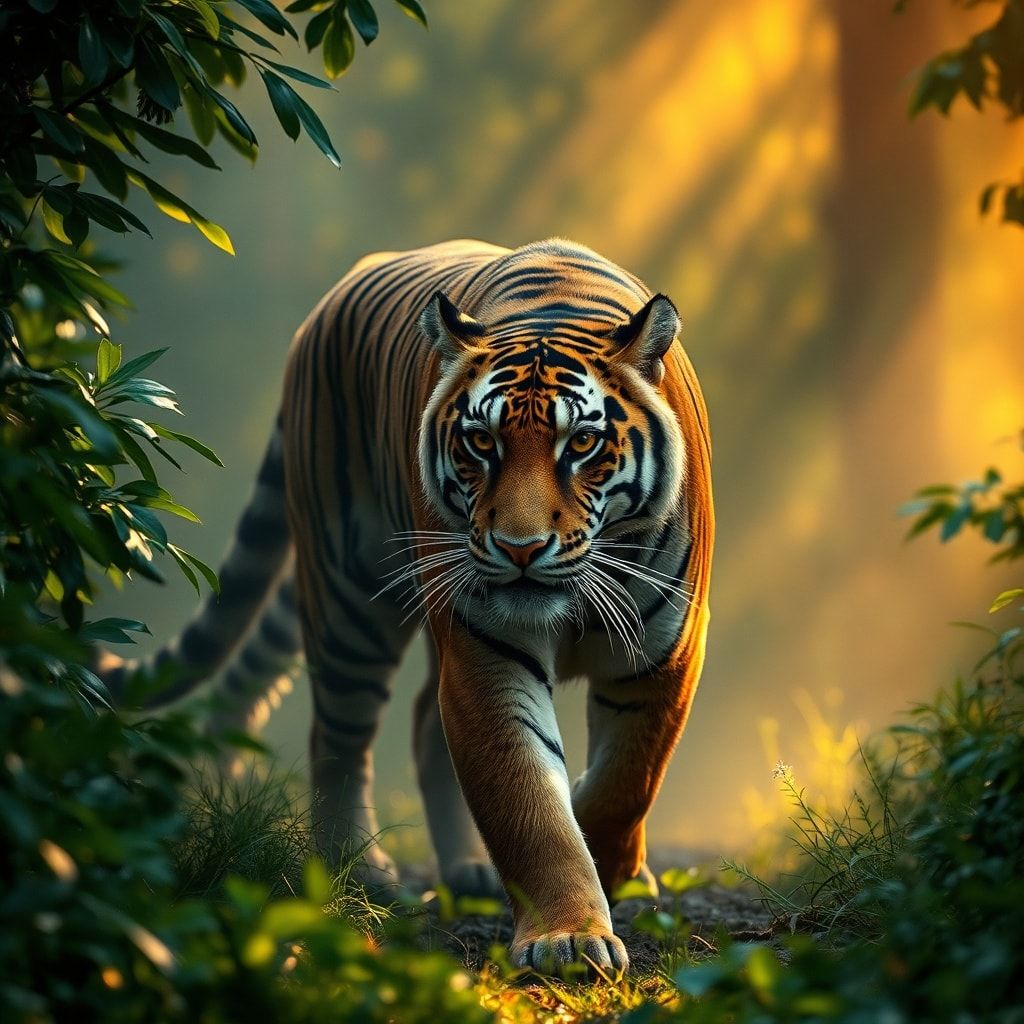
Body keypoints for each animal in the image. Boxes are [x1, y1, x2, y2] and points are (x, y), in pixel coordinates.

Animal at [102, 238, 714, 974]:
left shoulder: (666, 653)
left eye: (582, 445)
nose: (519, 549)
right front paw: (566, 935)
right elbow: (529, 802)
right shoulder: (487, 652)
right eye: (482, 443)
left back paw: (470, 871)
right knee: (339, 737)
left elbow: (627, 779)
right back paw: (362, 873)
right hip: (351, 597)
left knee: (422, 719)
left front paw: (620, 873)